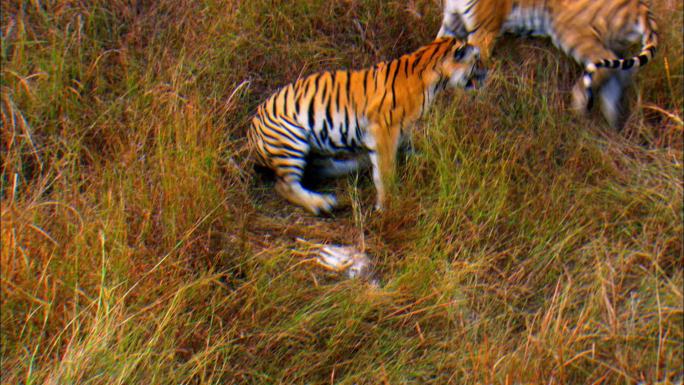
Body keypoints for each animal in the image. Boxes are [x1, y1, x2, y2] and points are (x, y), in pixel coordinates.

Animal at [250, 36, 480, 214]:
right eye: (476, 62)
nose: (485, 74)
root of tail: (250, 132)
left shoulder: (402, 131)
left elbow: (412, 153)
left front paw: (447, 163)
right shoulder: (385, 128)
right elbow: (386, 171)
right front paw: (386, 205)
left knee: (317, 168)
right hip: (289, 138)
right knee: (285, 185)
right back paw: (322, 204)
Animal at [438, 0, 656, 129]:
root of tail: (642, 6)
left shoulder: (483, 32)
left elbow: (470, 72)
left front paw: (460, 105)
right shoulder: (452, 22)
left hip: (569, 29)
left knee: (603, 61)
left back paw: (578, 102)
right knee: (622, 72)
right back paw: (613, 119)